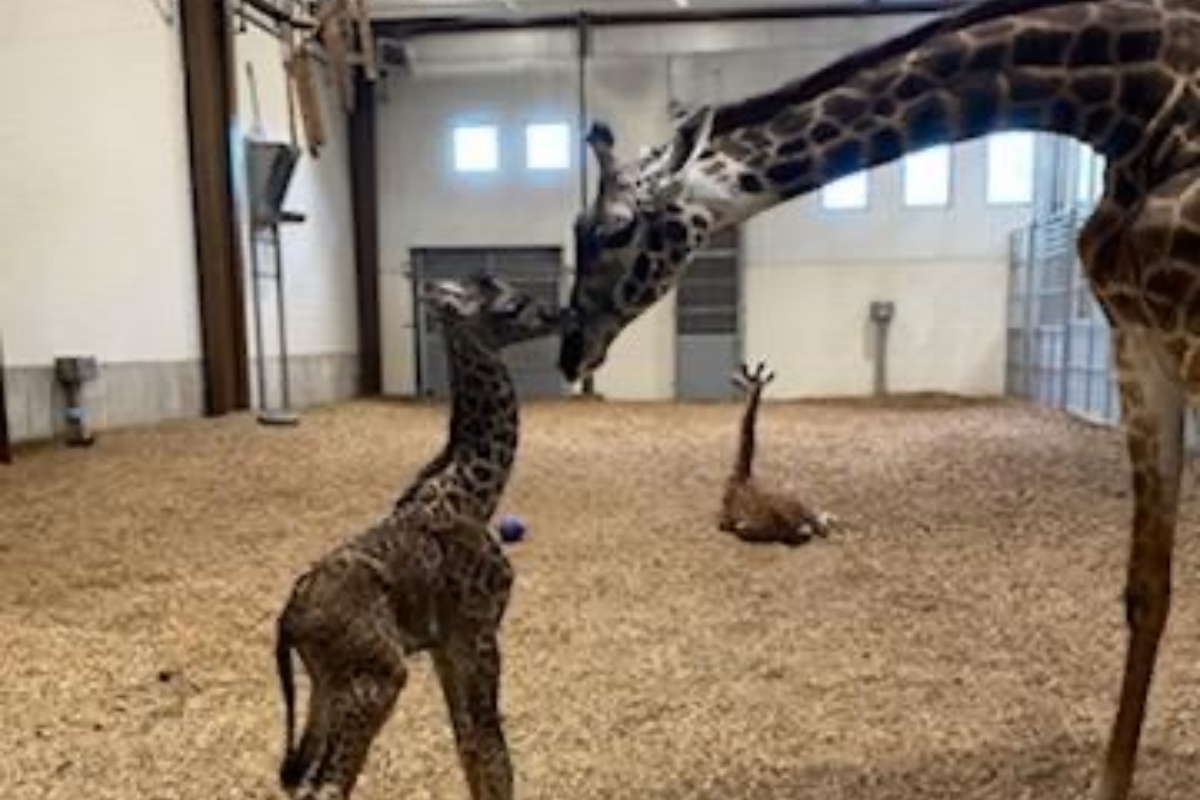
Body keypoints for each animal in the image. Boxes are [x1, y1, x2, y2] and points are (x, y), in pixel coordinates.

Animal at [274, 274, 558, 800]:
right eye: (511, 306)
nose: (557, 315)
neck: (478, 492)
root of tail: (288, 620)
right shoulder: (479, 631)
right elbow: (493, 751)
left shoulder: (447, 644)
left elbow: (468, 744)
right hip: (378, 677)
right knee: (328, 786)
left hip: (326, 685)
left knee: (298, 778)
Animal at [720, 360, 833, 546]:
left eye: (745, 382)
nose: (732, 378)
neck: (741, 474)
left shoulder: (724, 519)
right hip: (798, 498)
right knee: (821, 525)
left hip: (745, 528)